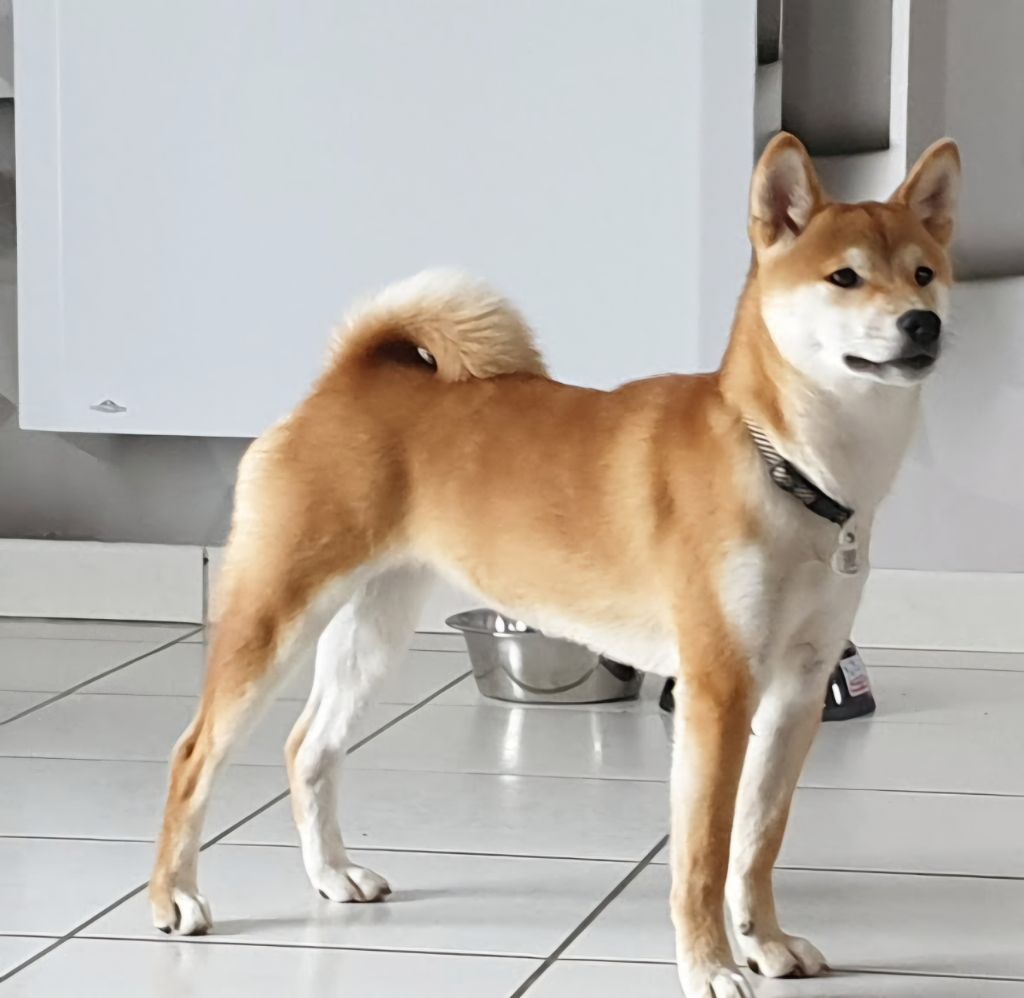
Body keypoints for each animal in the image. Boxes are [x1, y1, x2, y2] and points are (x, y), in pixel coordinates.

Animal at [150, 132, 960, 997]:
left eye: (923, 273)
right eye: (844, 277)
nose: (922, 323)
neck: (786, 464)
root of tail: (346, 380)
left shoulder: (797, 691)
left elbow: (756, 844)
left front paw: (765, 943)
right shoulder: (718, 690)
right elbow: (704, 857)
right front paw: (709, 965)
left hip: (373, 628)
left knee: (308, 747)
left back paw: (333, 875)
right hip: (276, 614)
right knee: (193, 753)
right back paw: (174, 898)